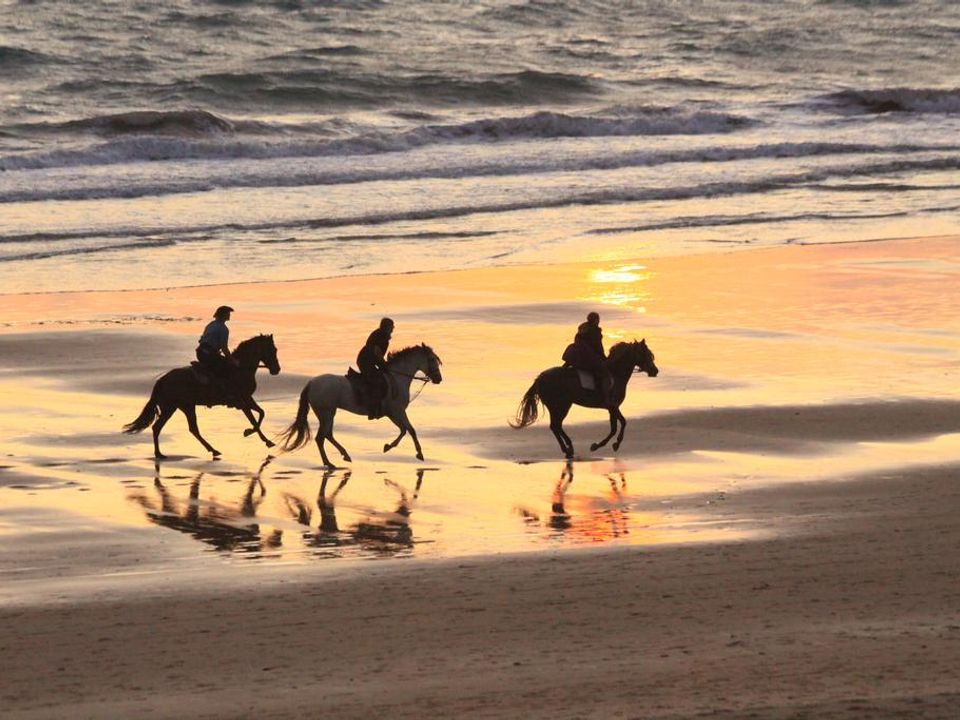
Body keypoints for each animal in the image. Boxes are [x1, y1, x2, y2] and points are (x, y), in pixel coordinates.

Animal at [122, 334, 280, 458]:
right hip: (175, 407)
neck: (240, 369)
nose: (276, 369)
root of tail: (162, 380)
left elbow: (261, 413)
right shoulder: (242, 401)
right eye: (273, 350)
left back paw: (211, 450)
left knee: (186, 429)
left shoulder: (248, 399)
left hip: (182, 407)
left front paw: (263, 439)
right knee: (163, 428)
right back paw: (161, 454)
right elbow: (254, 420)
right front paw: (253, 434)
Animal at [278, 344, 442, 466]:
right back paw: (329, 463)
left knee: (328, 435)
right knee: (321, 438)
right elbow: (410, 430)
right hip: (326, 413)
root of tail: (311, 383)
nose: (439, 379)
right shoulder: (397, 411)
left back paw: (345, 455)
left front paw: (388, 447)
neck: (397, 378)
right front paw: (418, 453)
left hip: (329, 413)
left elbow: (404, 430)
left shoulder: (393, 413)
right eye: (432, 359)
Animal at [510, 338, 660, 462]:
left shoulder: (612, 408)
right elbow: (622, 423)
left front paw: (602, 445)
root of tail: (539, 379)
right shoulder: (613, 406)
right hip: (560, 406)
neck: (615, 374)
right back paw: (568, 449)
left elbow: (614, 427)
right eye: (646, 354)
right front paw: (611, 444)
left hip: (561, 406)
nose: (655, 371)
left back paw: (568, 449)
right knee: (555, 426)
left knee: (556, 426)